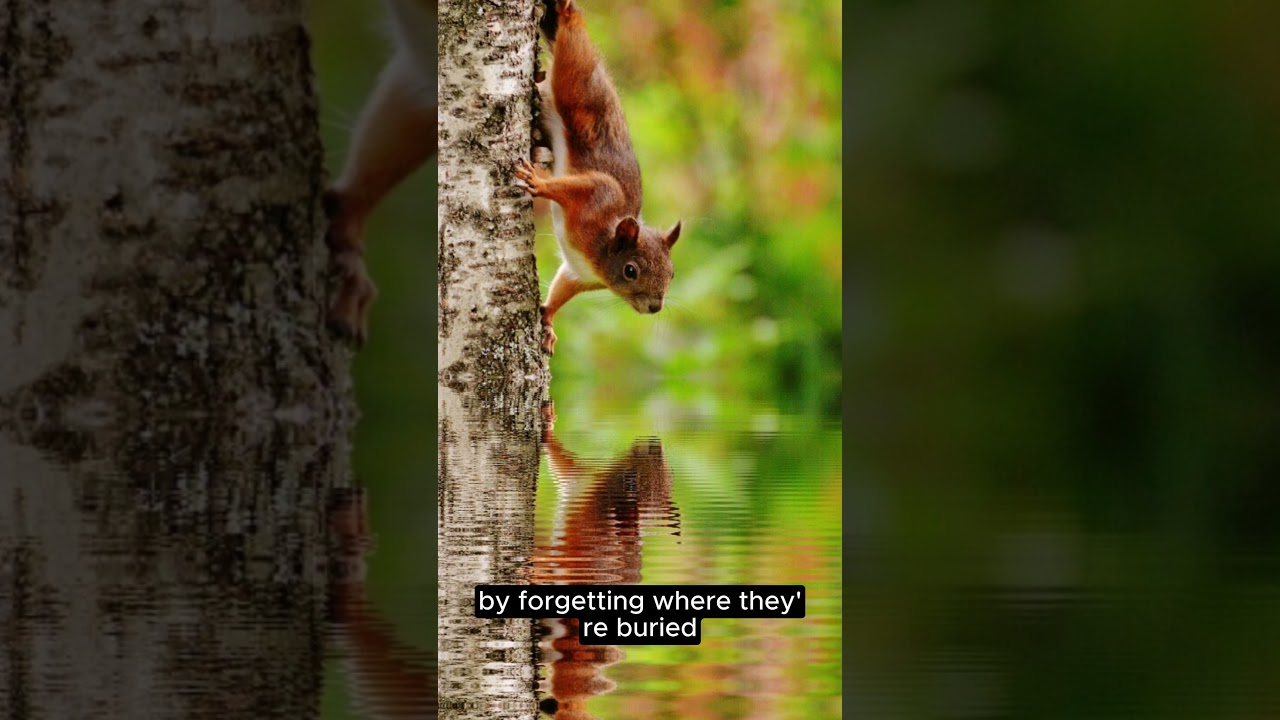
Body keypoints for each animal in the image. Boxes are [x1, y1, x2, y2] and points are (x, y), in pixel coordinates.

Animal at [515, 0, 682, 355]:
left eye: (673, 273)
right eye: (631, 270)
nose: (655, 307)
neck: (601, 252)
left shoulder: (578, 274)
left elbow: (561, 290)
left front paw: (548, 321)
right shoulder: (598, 196)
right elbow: (585, 185)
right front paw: (538, 183)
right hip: (575, 82)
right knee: (570, 42)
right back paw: (566, 13)